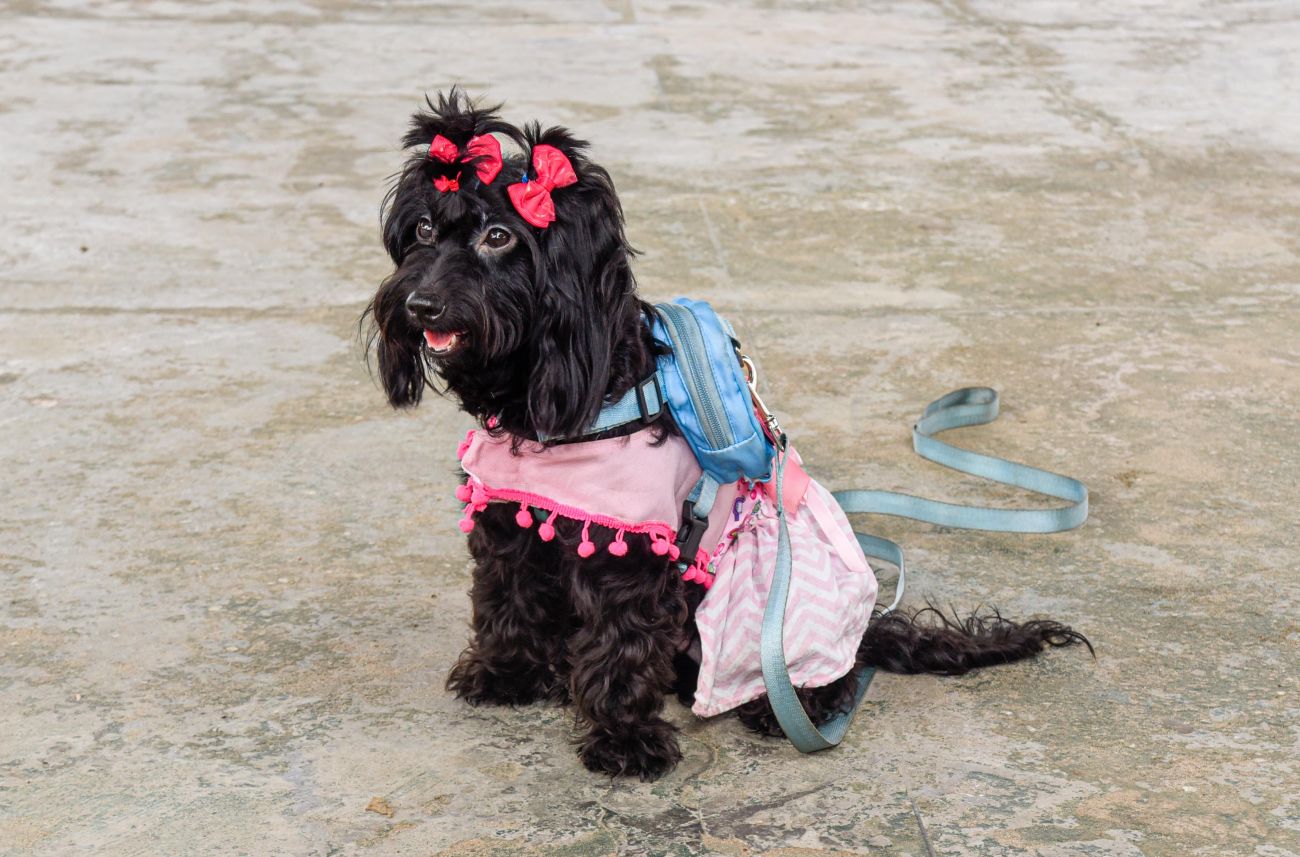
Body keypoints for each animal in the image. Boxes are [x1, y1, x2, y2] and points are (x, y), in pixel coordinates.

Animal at [363, 89, 1090, 780]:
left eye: (497, 236)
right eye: (423, 229)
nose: (420, 305)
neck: (546, 404)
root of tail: (868, 627)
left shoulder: (630, 550)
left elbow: (619, 647)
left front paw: (623, 739)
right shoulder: (507, 513)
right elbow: (508, 599)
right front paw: (507, 674)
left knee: (839, 671)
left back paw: (786, 705)